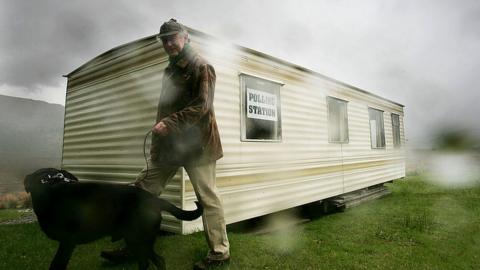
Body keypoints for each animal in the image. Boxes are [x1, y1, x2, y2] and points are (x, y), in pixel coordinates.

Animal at [24, 168, 202, 268]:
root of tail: (153, 199)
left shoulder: (67, 242)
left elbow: (57, 264)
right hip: (135, 241)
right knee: (145, 262)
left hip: (139, 239)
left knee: (158, 260)